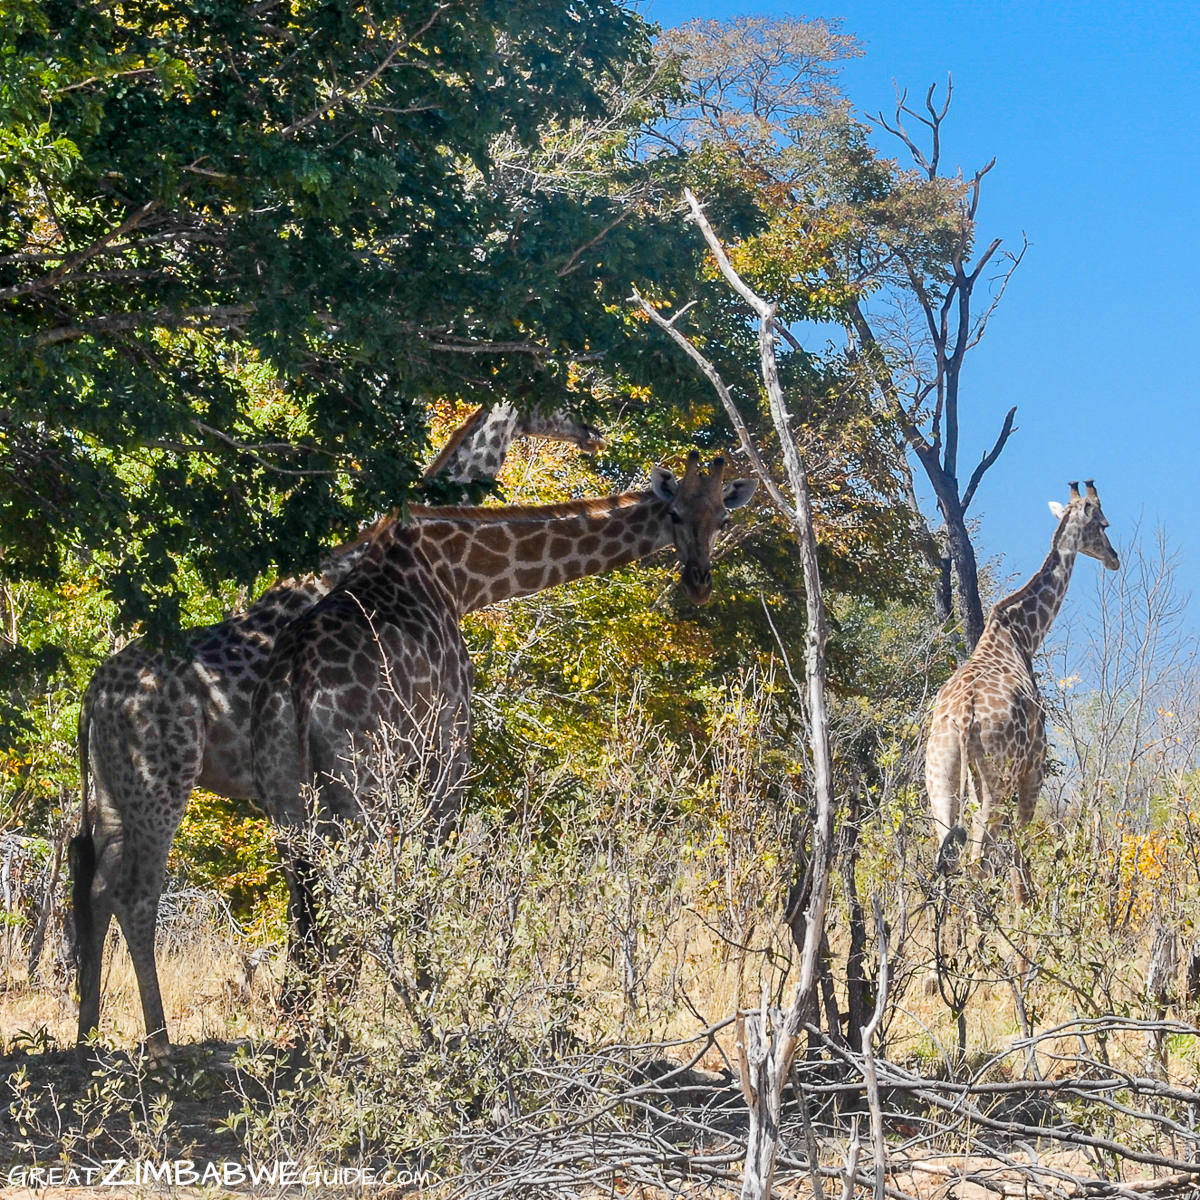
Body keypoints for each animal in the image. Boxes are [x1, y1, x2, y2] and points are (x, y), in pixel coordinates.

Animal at [71, 403, 603, 1059]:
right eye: (566, 394)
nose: (592, 433)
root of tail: (93, 697)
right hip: (160, 786)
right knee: (137, 894)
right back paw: (161, 1043)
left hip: (112, 790)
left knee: (96, 887)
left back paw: (88, 1033)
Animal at [250, 451, 756, 1015]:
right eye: (674, 516)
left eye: (722, 519)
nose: (699, 583)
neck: (461, 577)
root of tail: (296, 683)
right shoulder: (447, 748)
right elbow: (428, 888)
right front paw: (436, 999)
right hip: (360, 797)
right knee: (344, 927)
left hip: (285, 810)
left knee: (304, 943)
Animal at [924, 481, 1119, 896]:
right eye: (1103, 524)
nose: (1114, 558)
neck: (1023, 635)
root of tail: (962, 716)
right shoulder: (1035, 765)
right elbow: (1022, 850)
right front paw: (1026, 907)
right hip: (996, 780)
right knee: (976, 861)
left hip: (940, 777)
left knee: (944, 863)